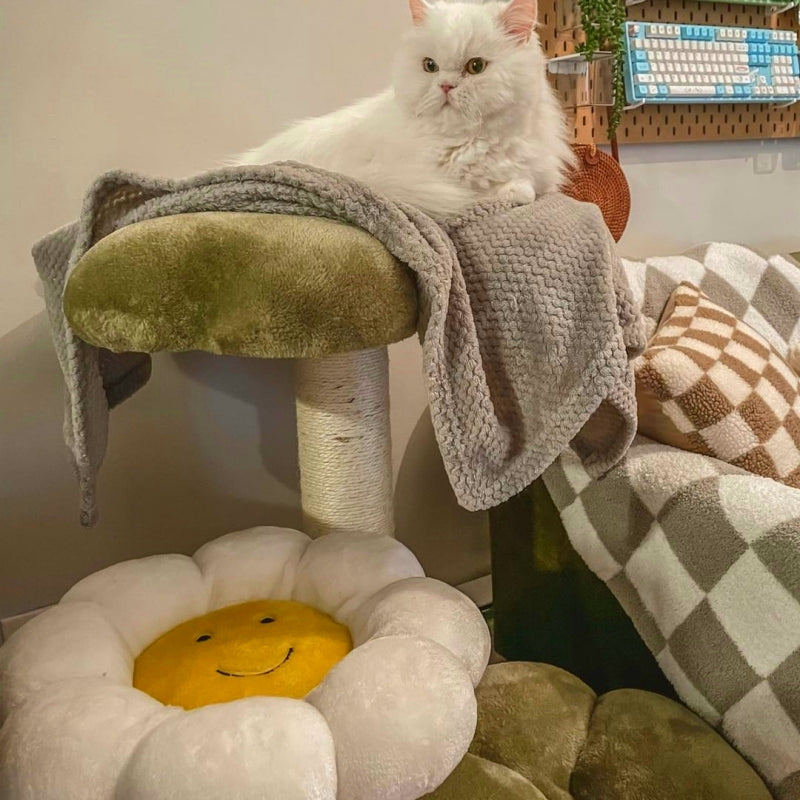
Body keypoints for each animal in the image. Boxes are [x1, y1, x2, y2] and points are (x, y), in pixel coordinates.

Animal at [234, 0, 572, 217]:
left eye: (476, 67)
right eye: (430, 66)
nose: (446, 86)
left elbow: (530, 185)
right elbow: (514, 189)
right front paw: (508, 190)